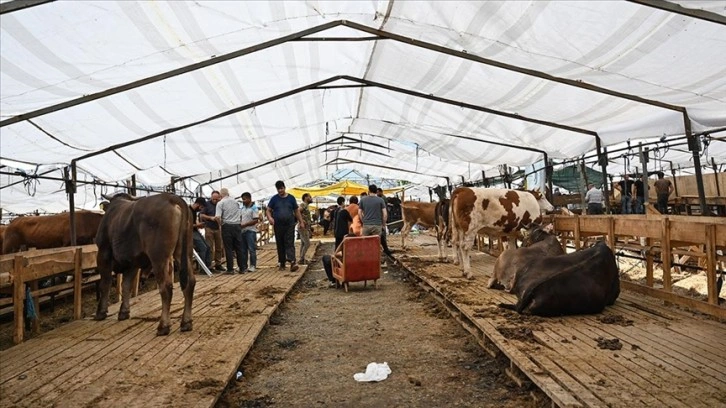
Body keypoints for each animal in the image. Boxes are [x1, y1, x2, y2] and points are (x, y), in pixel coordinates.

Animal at [94, 193, 196, 336]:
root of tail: (171, 197)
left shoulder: (103, 253)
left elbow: (105, 283)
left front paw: (101, 312)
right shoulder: (132, 262)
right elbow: (126, 286)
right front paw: (124, 312)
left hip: (158, 256)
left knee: (166, 287)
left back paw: (163, 326)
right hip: (184, 251)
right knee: (189, 282)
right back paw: (186, 322)